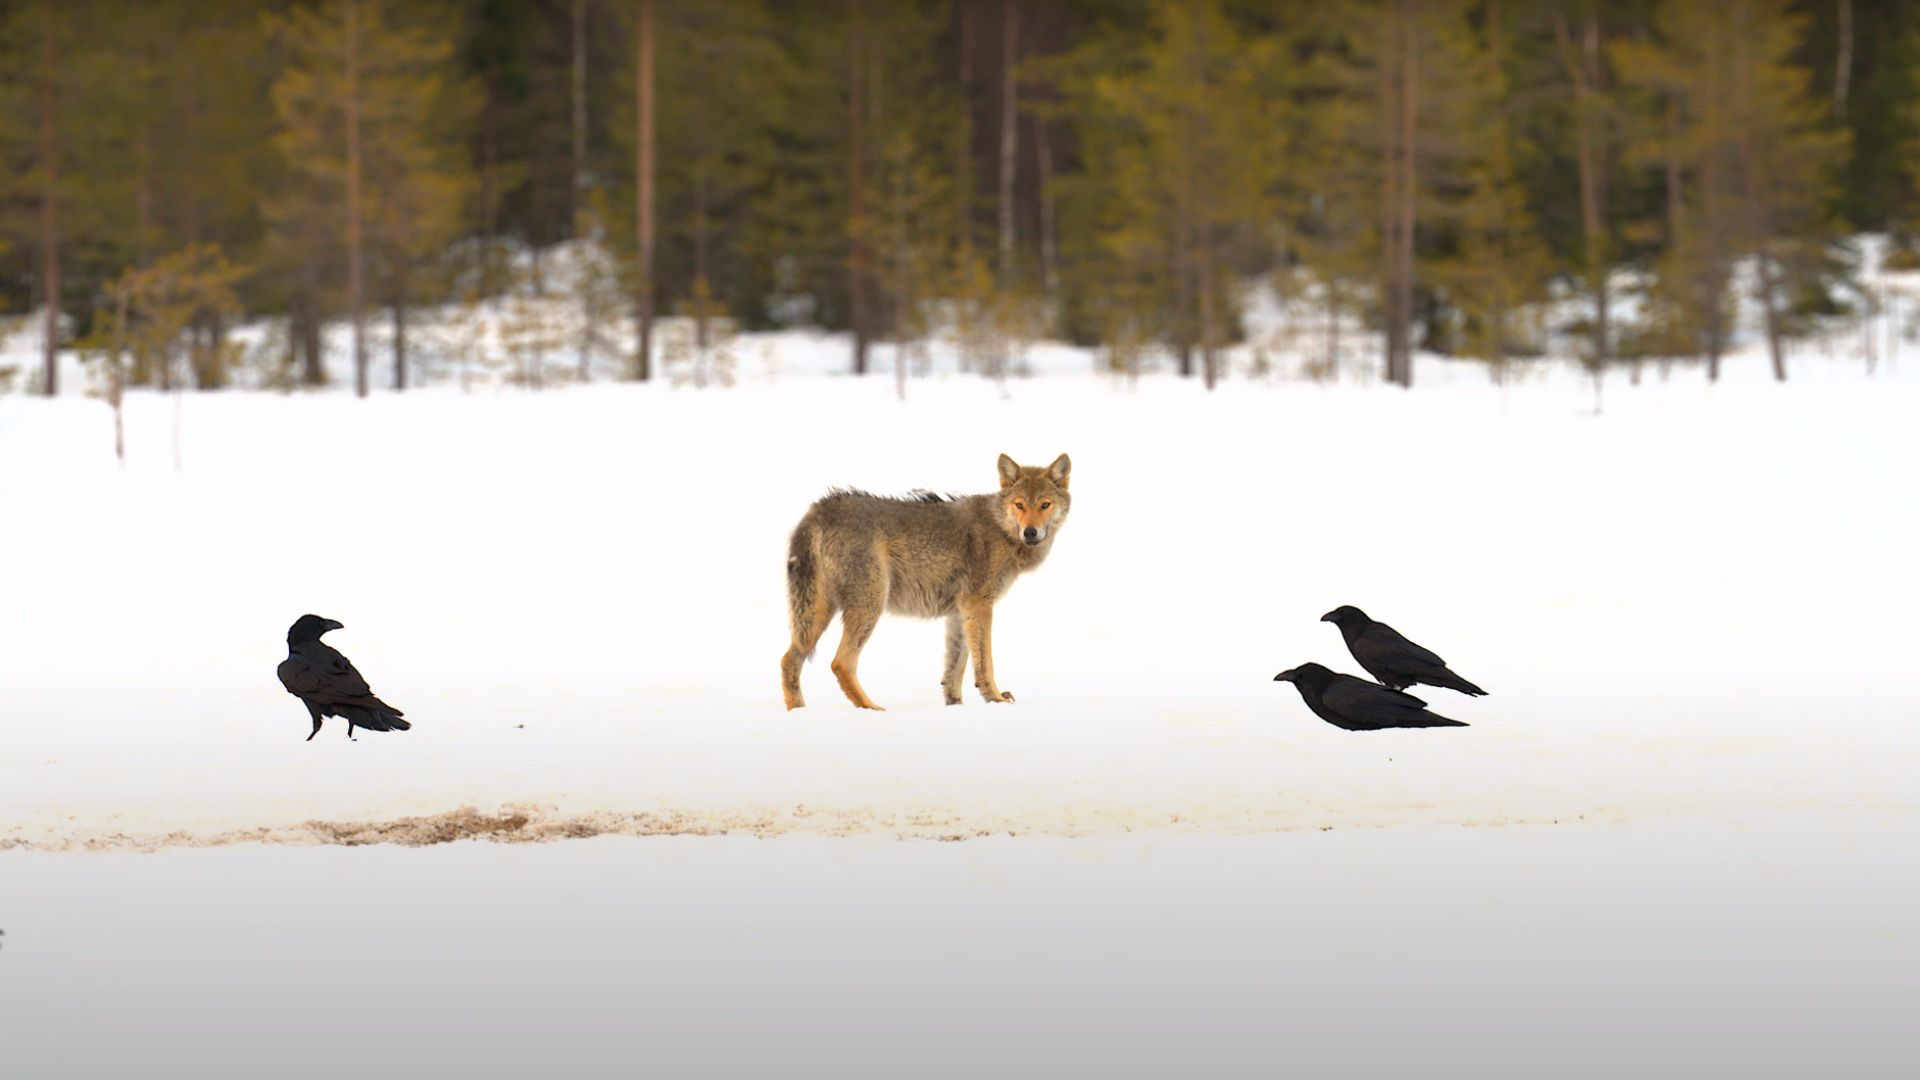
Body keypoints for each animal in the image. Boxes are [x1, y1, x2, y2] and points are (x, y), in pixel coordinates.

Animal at [781, 453, 1072, 710]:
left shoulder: (960, 611)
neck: (1002, 530)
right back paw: (871, 708)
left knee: (788, 660)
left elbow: (956, 667)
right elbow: (984, 662)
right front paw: (996, 699)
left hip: (816, 616)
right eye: (1019, 504)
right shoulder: (979, 604)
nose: (1030, 532)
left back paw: (799, 713)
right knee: (840, 663)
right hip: (869, 606)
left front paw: (955, 705)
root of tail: (818, 510)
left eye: (1045, 505)